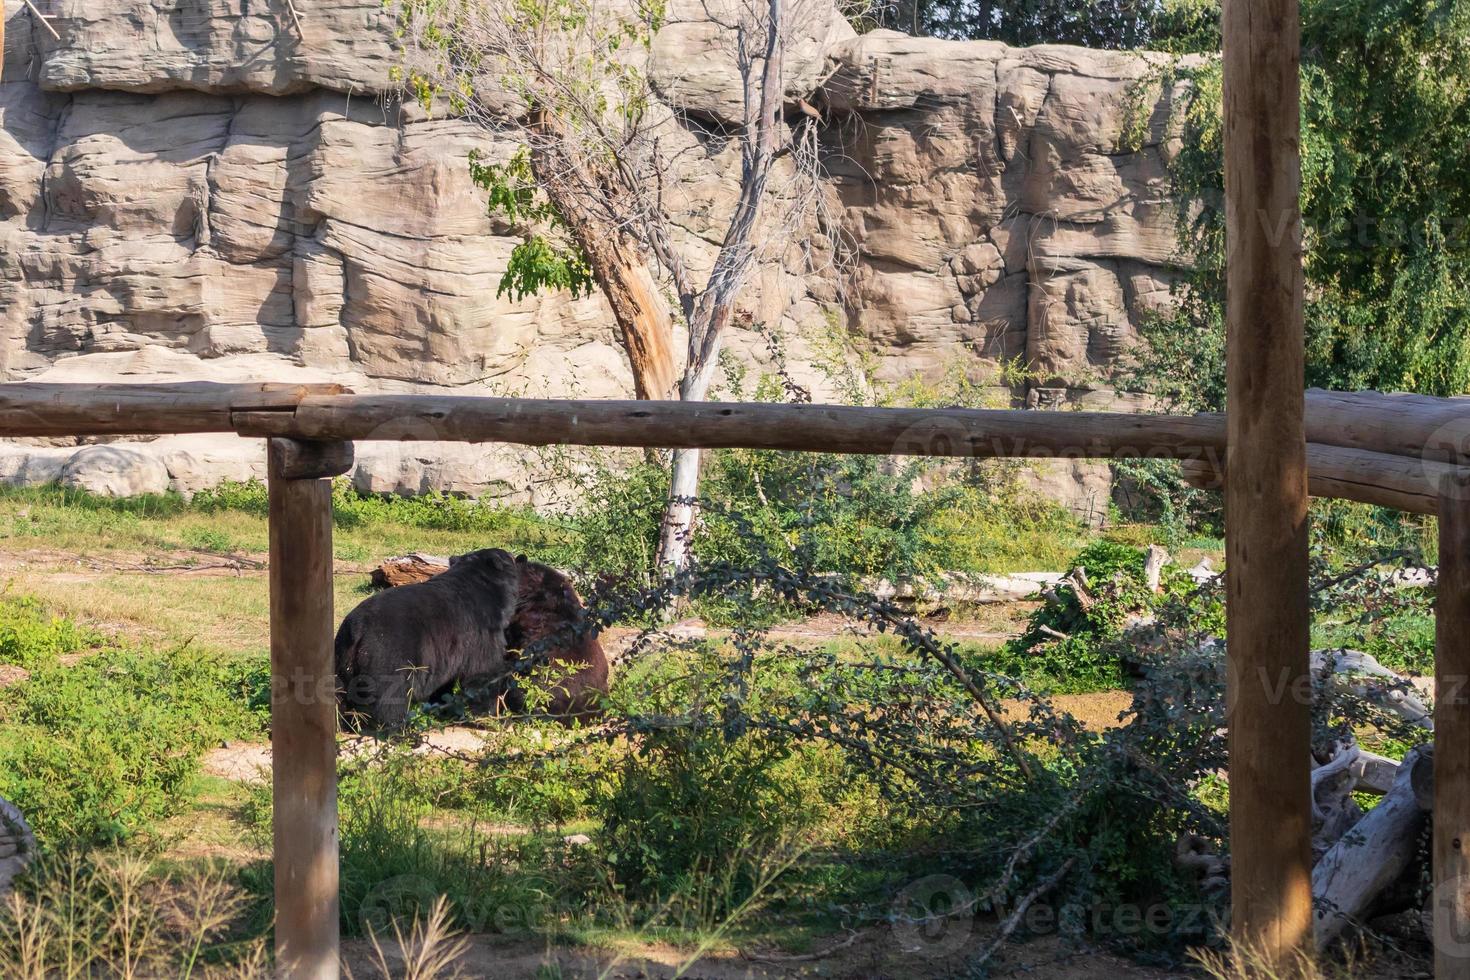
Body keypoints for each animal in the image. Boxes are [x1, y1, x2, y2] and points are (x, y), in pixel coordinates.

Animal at [336, 549, 520, 731]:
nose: (518, 557)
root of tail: (357, 630)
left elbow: (445, 682)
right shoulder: (481, 629)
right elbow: (483, 671)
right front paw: (496, 719)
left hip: (342, 660)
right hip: (387, 653)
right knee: (389, 696)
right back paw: (399, 728)